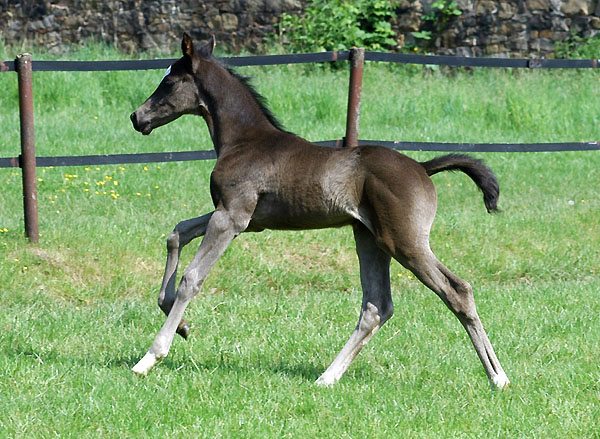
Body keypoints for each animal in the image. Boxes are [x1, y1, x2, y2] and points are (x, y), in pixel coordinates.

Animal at [129, 35, 508, 392]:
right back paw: (328, 376)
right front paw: (181, 325)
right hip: (370, 239)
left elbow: (192, 278)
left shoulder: (232, 217)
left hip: (406, 242)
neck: (243, 141)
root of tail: (422, 168)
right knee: (377, 306)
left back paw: (498, 377)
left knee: (457, 290)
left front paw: (150, 357)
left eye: (169, 82)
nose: (137, 117)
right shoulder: (245, 220)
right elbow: (177, 232)